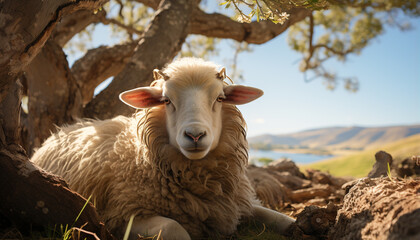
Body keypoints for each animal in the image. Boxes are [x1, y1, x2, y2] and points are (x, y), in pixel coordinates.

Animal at [31, 58, 296, 240]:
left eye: (220, 99)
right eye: (167, 100)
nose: (195, 135)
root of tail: (61, 130)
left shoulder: (238, 205)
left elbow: (282, 219)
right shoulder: (121, 215)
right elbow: (173, 227)